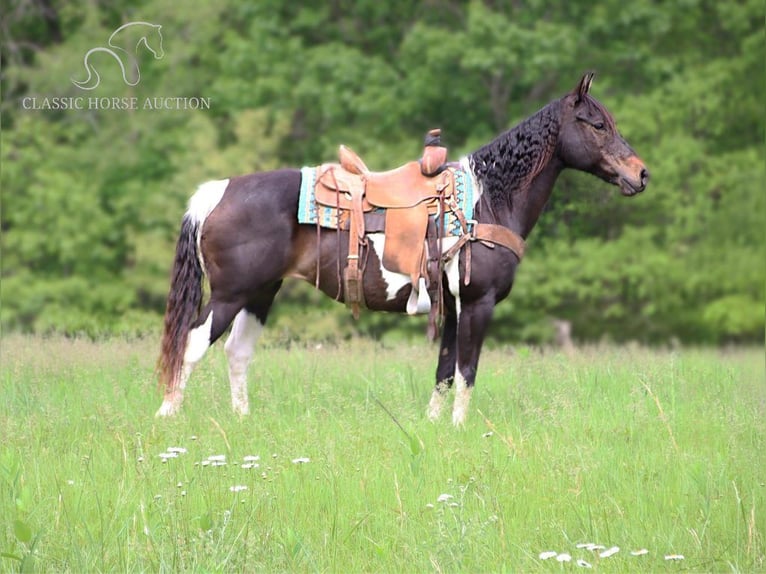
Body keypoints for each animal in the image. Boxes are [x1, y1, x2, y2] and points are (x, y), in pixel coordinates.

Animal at [159, 73, 652, 428]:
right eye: (598, 124)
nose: (642, 174)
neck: (488, 199)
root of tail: (216, 193)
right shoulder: (479, 302)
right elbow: (468, 370)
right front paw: (458, 428)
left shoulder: (452, 305)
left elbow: (445, 369)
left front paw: (434, 427)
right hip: (230, 295)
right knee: (192, 345)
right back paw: (167, 418)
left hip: (261, 293)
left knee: (237, 352)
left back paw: (242, 421)